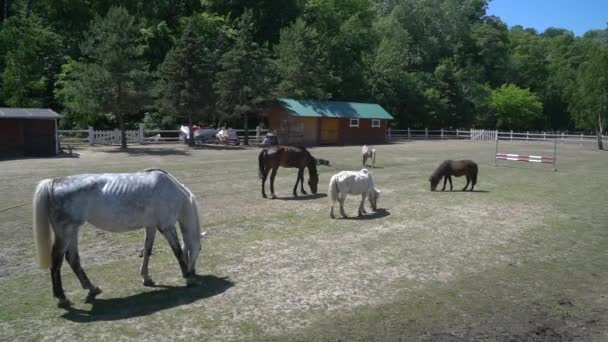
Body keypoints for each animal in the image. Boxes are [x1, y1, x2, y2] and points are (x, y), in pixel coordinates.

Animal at [32, 168, 202, 308]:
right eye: (199, 250)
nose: (193, 271)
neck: (172, 191)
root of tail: (53, 183)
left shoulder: (151, 226)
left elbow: (147, 250)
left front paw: (146, 278)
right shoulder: (166, 227)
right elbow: (177, 251)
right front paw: (189, 279)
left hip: (72, 231)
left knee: (73, 259)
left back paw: (92, 289)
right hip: (65, 233)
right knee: (56, 261)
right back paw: (62, 298)